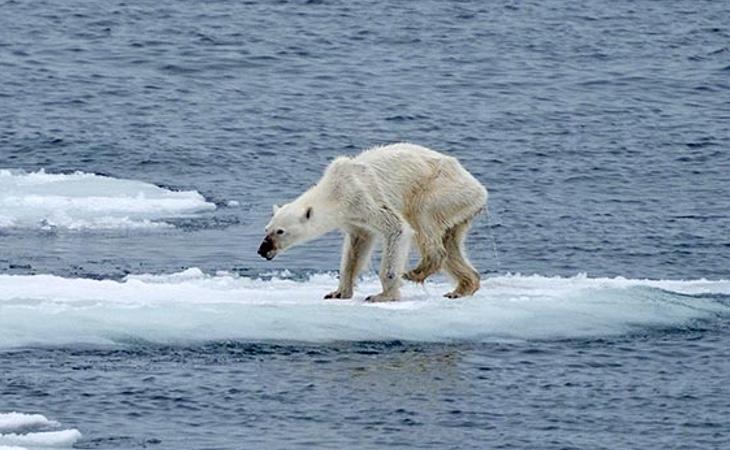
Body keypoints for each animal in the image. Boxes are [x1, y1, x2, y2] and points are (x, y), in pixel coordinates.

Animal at [258, 142, 490, 300]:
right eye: (266, 229)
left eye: (280, 231)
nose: (262, 250)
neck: (336, 189)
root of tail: (480, 189)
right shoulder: (353, 218)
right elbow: (356, 247)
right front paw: (338, 292)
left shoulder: (363, 197)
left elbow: (397, 228)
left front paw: (382, 296)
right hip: (459, 207)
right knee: (451, 243)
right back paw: (462, 288)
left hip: (441, 190)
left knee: (423, 220)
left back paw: (416, 272)